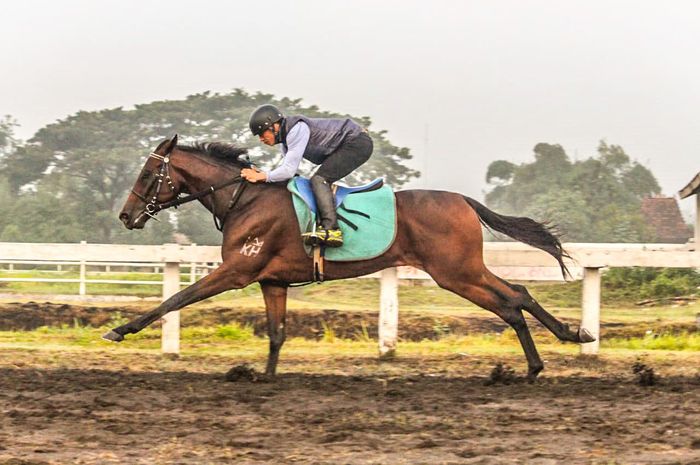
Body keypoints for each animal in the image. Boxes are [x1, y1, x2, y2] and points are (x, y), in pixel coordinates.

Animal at [106, 135, 592, 380]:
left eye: (148, 174)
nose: (126, 216)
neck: (245, 198)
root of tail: (464, 201)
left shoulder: (237, 270)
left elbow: (175, 299)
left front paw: (120, 329)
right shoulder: (272, 280)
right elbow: (277, 334)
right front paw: (264, 376)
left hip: (455, 271)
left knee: (511, 301)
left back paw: (546, 355)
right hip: (462, 270)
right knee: (518, 294)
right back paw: (561, 344)